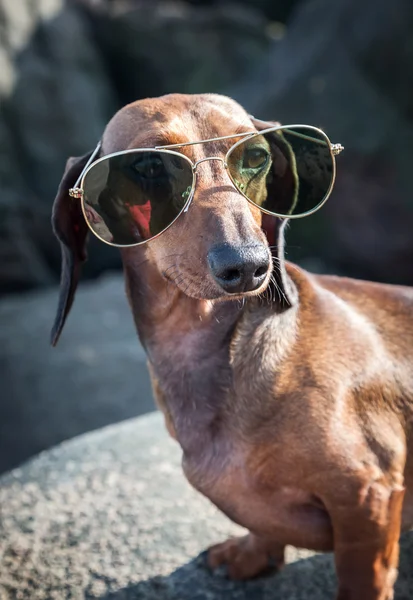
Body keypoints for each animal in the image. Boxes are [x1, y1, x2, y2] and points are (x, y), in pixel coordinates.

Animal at [50, 94, 412, 600]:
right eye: (149, 166)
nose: (247, 266)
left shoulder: (369, 495)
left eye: (256, 156)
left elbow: (361, 577)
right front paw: (252, 553)